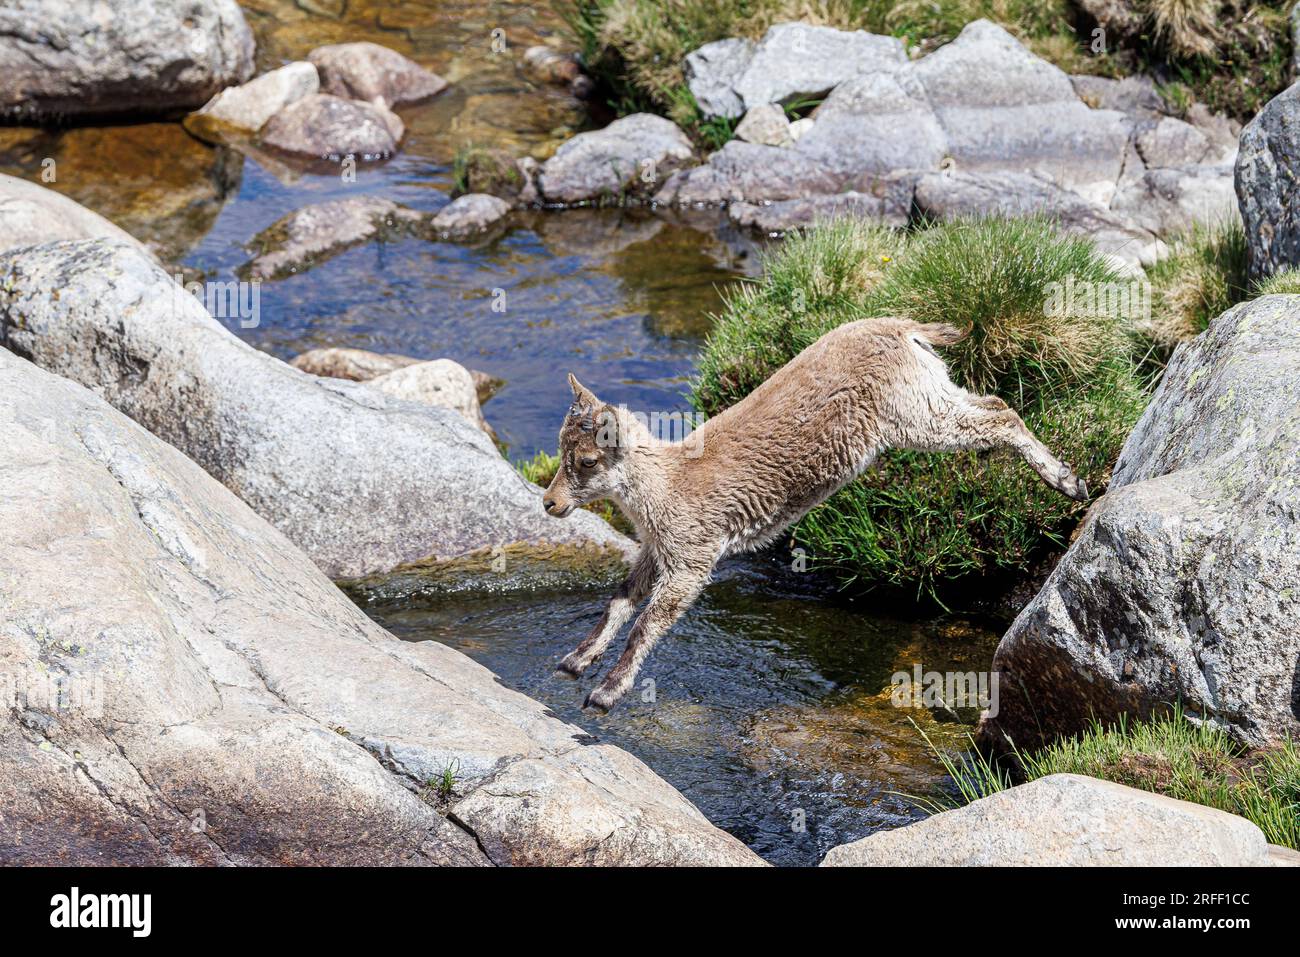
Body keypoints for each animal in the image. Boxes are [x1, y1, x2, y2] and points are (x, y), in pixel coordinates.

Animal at [543, 317, 1087, 712]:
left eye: (586, 461)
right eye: (561, 450)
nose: (550, 503)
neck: (665, 484)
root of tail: (903, 327)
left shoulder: (691, 554)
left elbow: (648, 621)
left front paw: (605, 693)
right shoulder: (657, 549)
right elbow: (619, 600)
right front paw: (574, 661)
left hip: (916, 415)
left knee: (1002, 416)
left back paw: (1067, 480)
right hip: (932, 394)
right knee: (993, 401)